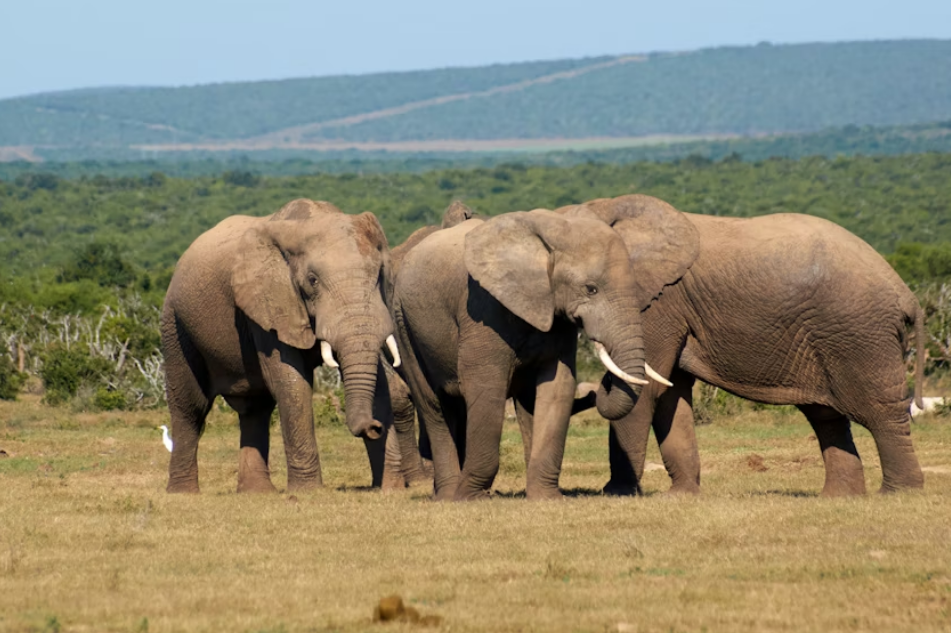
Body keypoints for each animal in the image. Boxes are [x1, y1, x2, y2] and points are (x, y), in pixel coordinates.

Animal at [161, 198, 401, 493]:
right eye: (312, 280)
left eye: (379, 275)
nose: (375, 427)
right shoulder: (267, 303)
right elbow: (291, 383)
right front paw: (308, 492)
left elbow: (380, 382)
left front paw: (390, 489)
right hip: (175, 324)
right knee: (190, 406)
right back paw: (183, 493)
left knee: (255, 409)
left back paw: (257, 493)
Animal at [392, 210, 682, 500]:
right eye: (591, 289)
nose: (601, 385)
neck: (552, 233)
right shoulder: (481, 309)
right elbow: (485, 386)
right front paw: (470, 498)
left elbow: (558, 387)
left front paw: (546, 498)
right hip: (403, 323)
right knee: (433, 405)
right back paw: (449, 495)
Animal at [564, 194, 925, 497]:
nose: (593, 390)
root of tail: (905, 292)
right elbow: (670, 393)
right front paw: (680, 497)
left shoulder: (657, 301)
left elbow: (647, 390)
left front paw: (615, 494)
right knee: (826, 415)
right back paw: (839, 497)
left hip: (859, 333)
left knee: (879, 411)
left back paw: (897, 493)